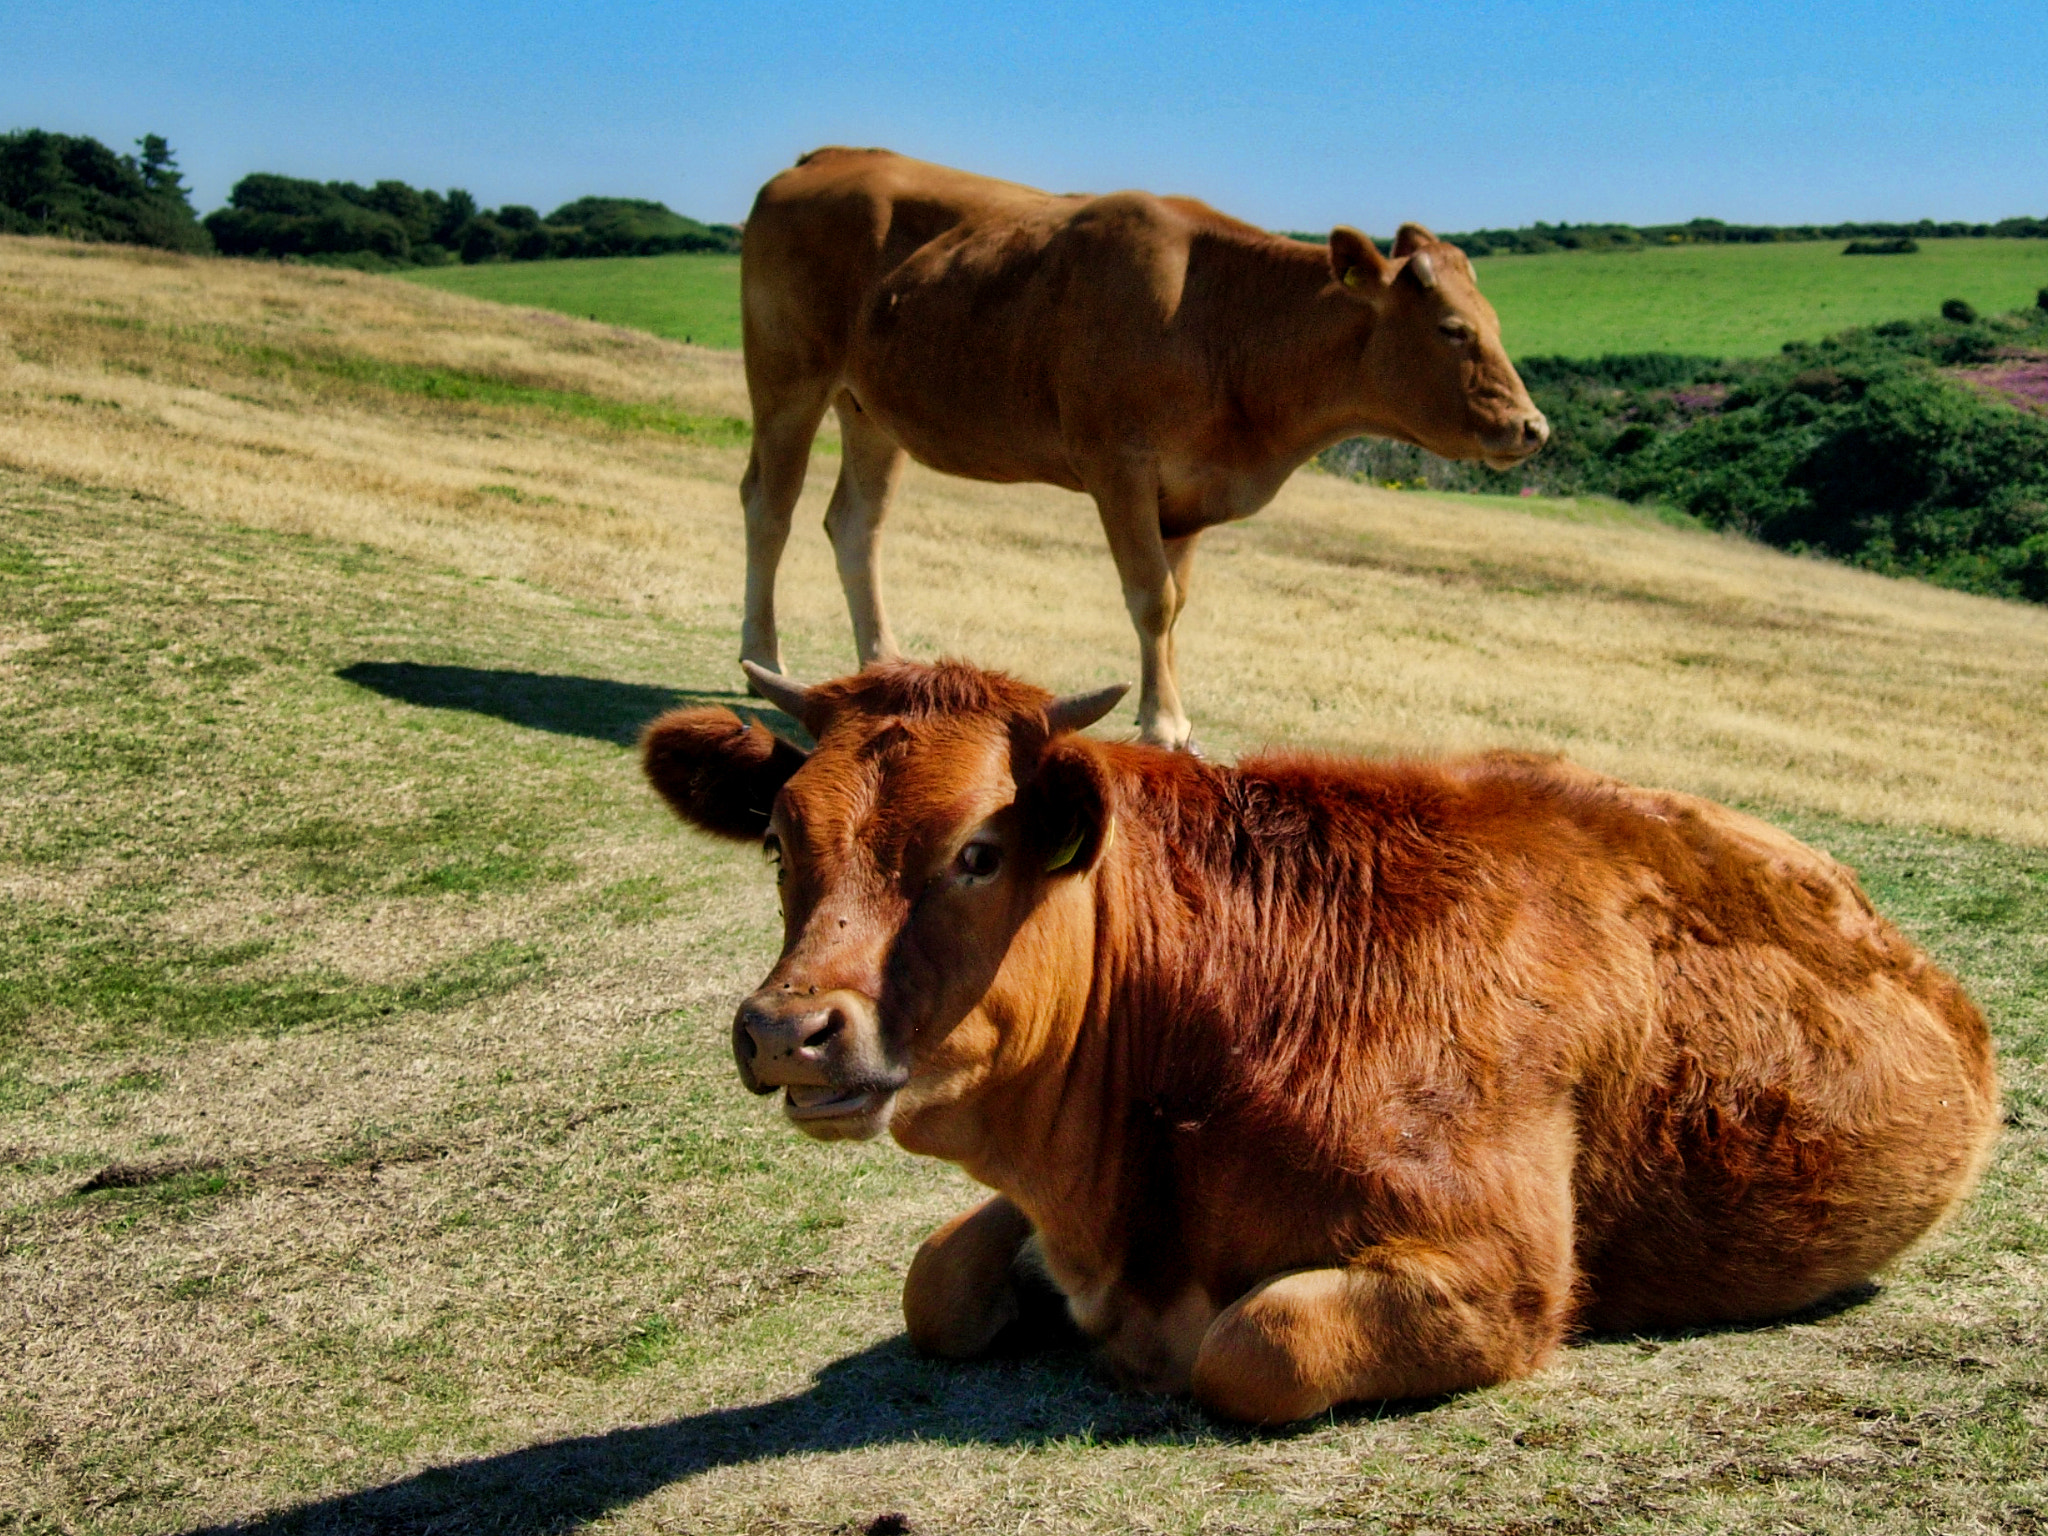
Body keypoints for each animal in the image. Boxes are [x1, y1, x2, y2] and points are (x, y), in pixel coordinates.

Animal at [641, 659, 1999, 1423]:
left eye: (977, 850)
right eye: (780, 838)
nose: (788, 1029)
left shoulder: (1503, 1274)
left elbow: (1257, 1344)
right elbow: (934, 1285)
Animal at [736, 148, 1549, 750]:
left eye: (1494, 321)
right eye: (1452, 328)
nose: (1533, 427)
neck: (1220, 319)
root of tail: (828, 156)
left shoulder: (1189, 490)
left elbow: (1177, 602)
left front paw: (1172, 714)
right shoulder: (1118, 465)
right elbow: (1151, 598)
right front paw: (1162, 723)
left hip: (871, 410)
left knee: (856, 524)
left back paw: (883, 662)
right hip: (787, 378)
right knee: (770, 507)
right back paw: (762, 659)